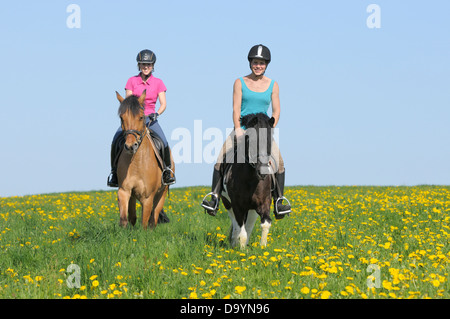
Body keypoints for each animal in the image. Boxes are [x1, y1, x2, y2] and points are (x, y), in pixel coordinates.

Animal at [221, 112, 276, 250]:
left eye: (270, 139)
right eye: (252, 140)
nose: (263, 172)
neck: (251, 180)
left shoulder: (264, 202)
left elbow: (265, 224)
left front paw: (262, 248)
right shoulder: (237, 205)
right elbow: (241, 231)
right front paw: (241, 250)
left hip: (251, 209)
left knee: (249, 225)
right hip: (228, 203)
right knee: (236, 225)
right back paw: (234, 242)